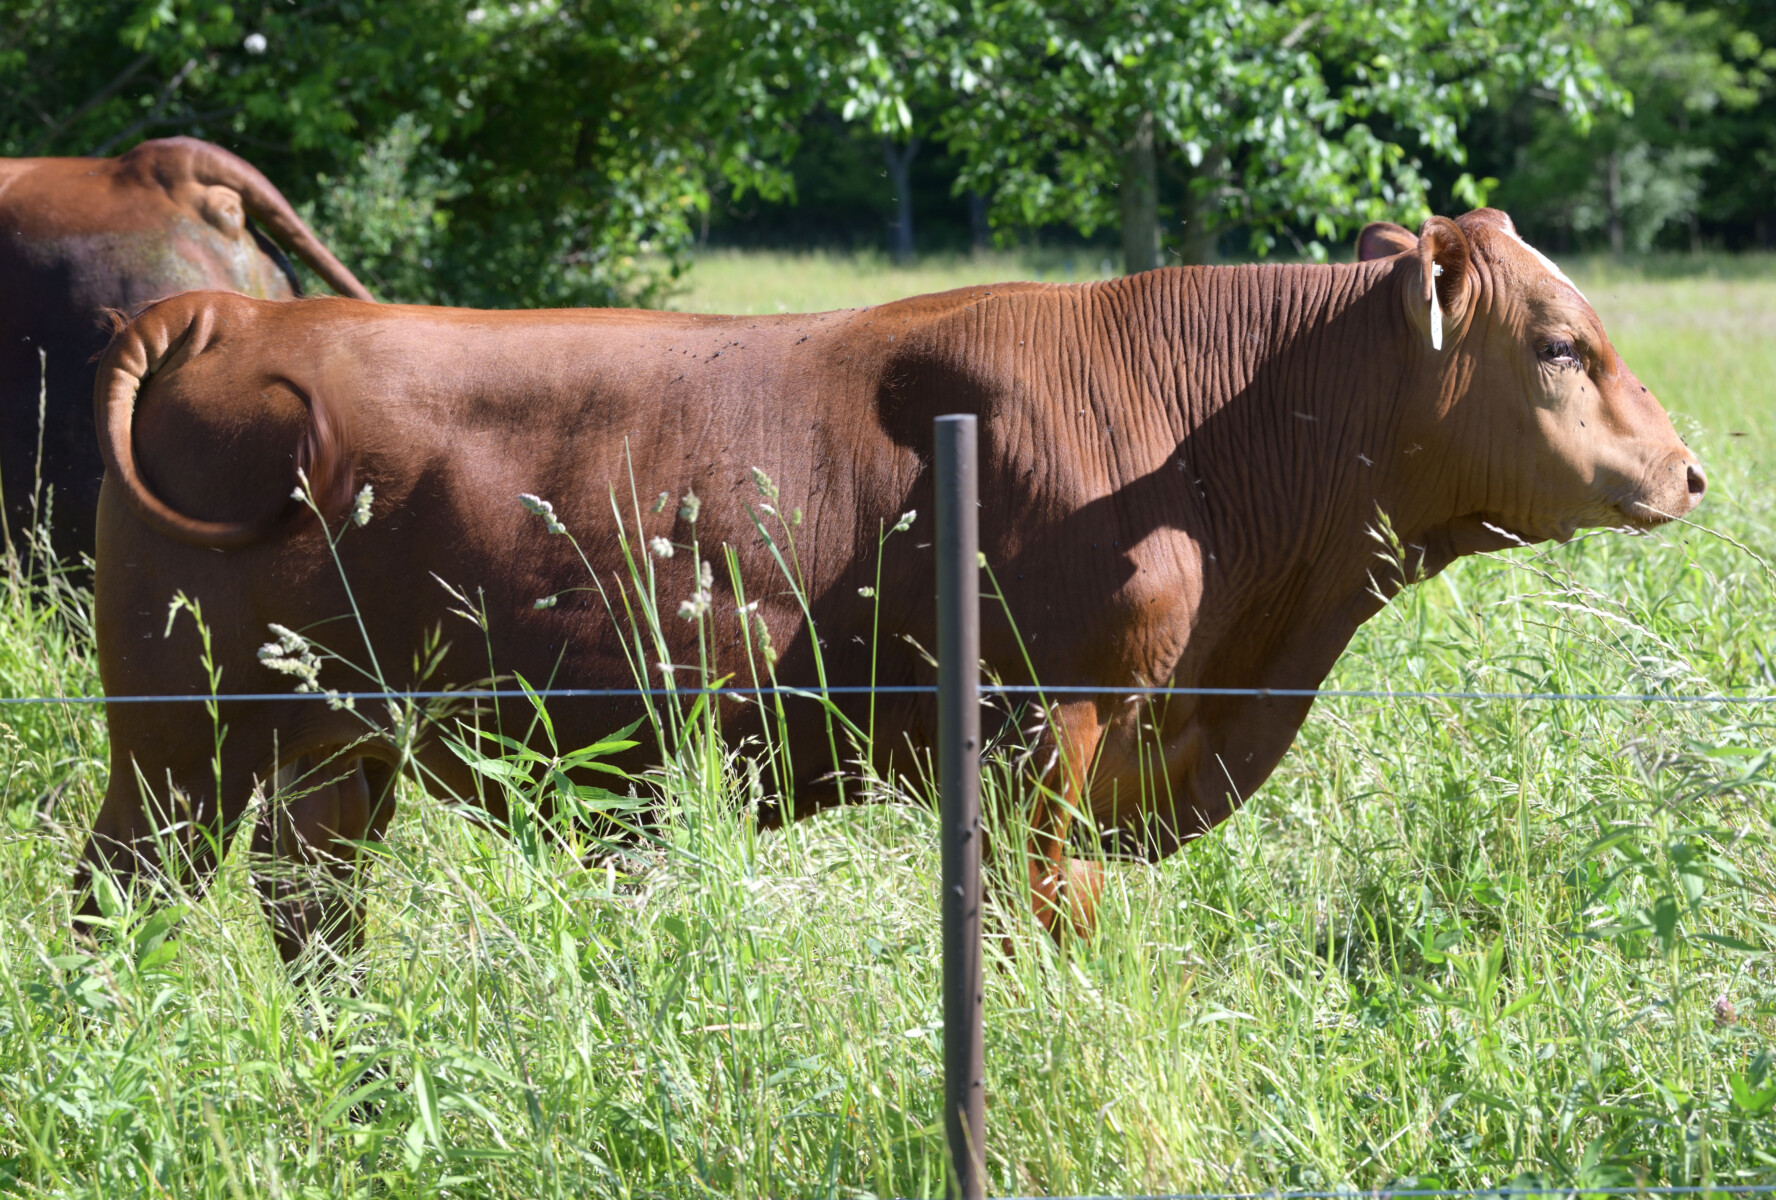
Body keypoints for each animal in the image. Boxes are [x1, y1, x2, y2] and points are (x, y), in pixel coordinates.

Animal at [77, 209, 1704, 964]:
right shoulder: (1050, 729)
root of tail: (227, 311)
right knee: (119, 898)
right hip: (176, 743)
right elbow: (1043, 920)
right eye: (1561, 345)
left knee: (311, 921)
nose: (1688, 472)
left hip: (328, 753)